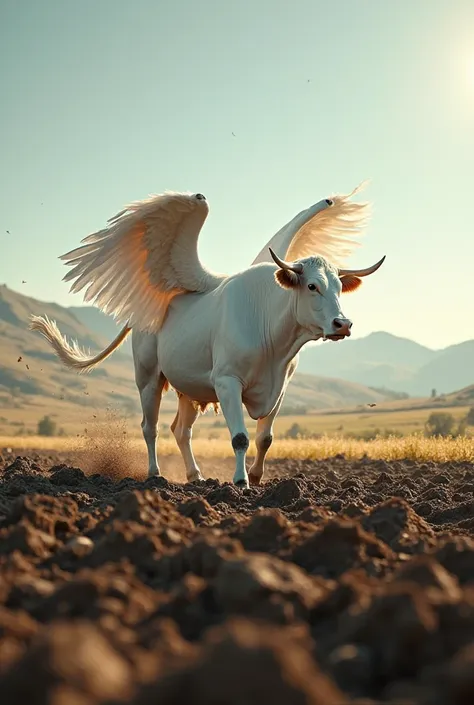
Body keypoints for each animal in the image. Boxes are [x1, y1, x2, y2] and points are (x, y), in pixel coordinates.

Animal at [29, 184, 384, 486]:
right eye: (312, 286)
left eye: (338, 287)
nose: (342, 324)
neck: (271, 333)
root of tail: (146, 312)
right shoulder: (227, 383)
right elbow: (240, 437)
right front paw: (240, 481)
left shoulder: (280, 388)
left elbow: (265, 437)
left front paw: (257, 478)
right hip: (148, 378)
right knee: (150, 427)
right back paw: (155, 474)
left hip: (187, 387)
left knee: (180, 431)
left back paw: (195, 475)